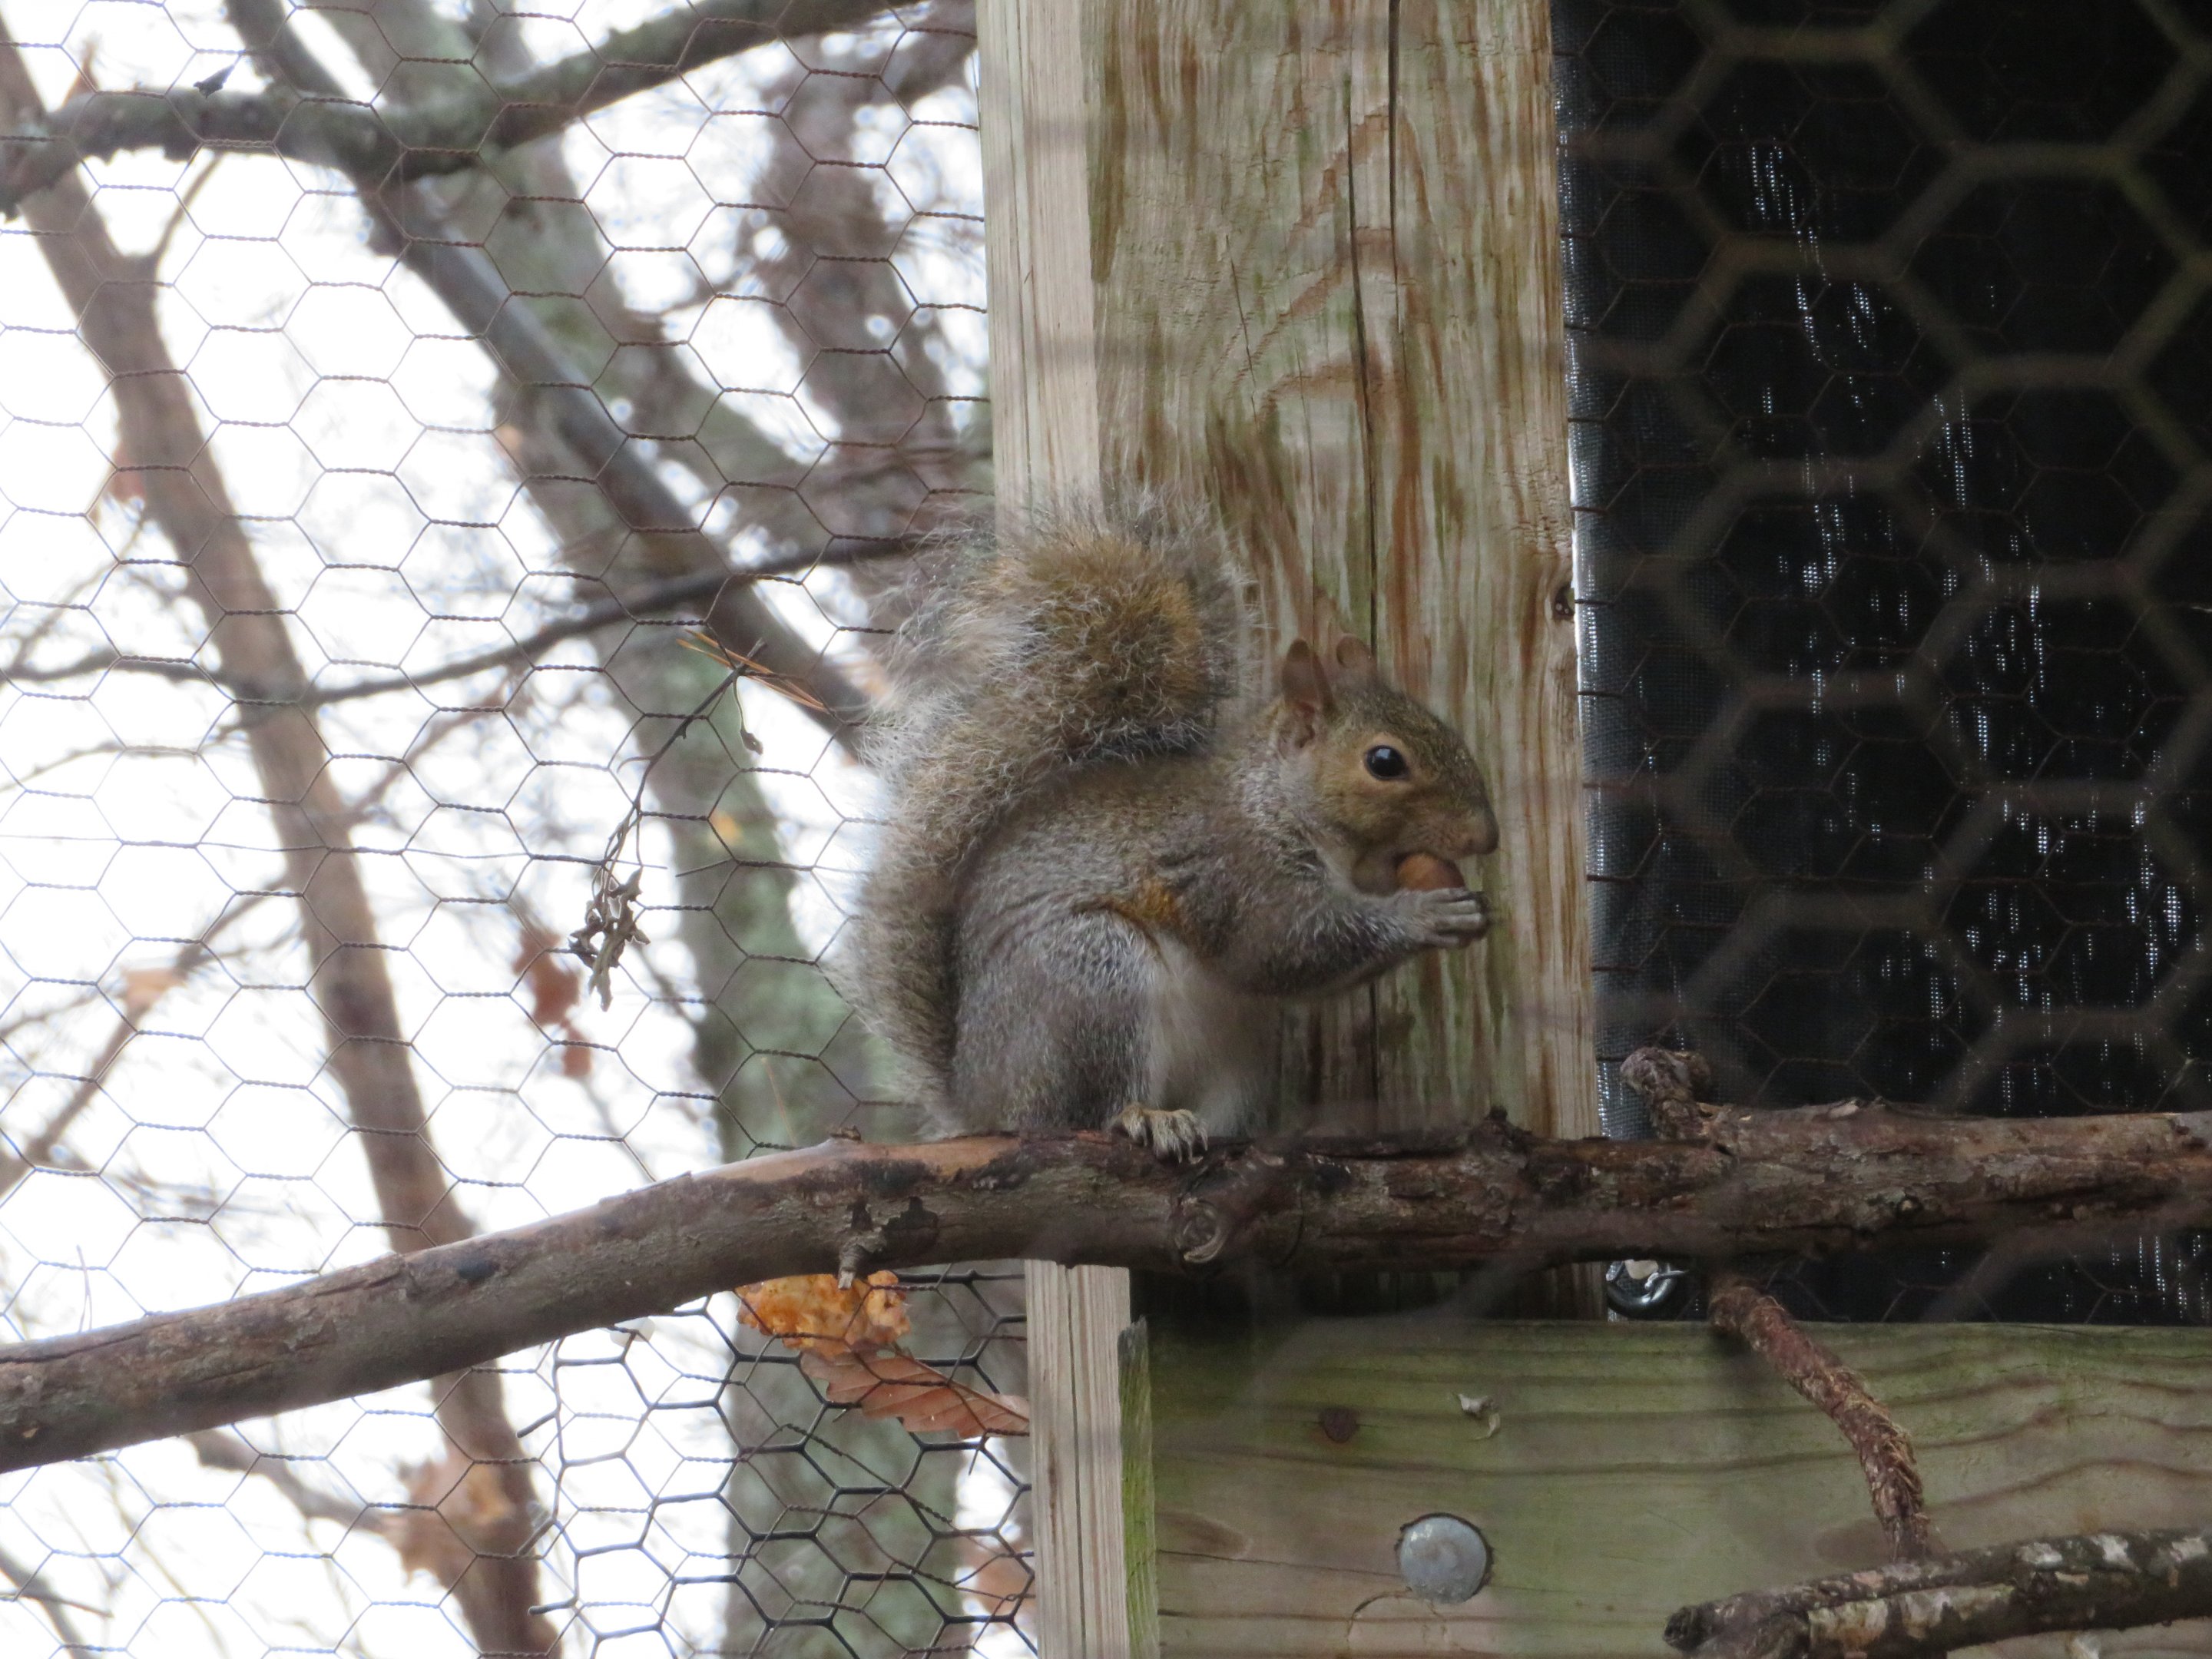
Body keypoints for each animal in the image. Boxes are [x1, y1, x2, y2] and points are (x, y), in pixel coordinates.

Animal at [842, 501, 1498, 1160]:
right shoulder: (1236, 870)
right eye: (1384, 762)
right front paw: (1426, 915)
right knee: (1083, 1112)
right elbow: (1288, 943)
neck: (1278, 803)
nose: (1485, 838)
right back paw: (1146, 1119)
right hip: (1091, 977)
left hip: (1240, 1051)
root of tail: (977, 1099)